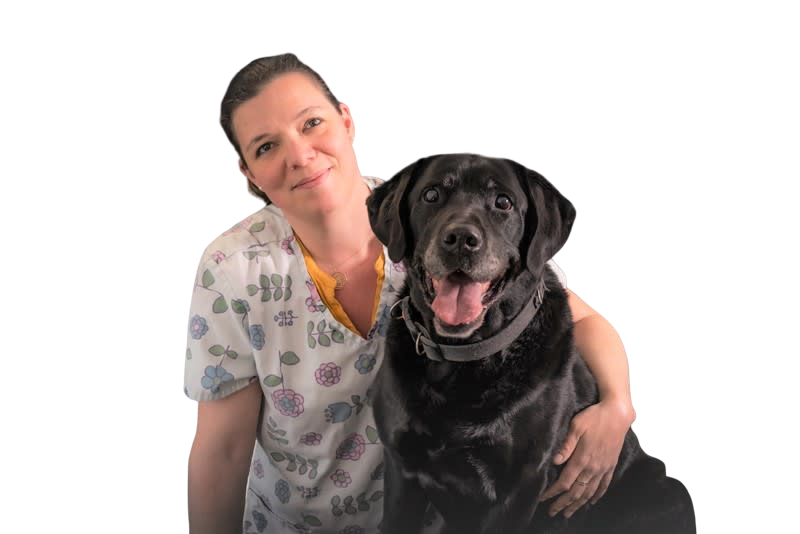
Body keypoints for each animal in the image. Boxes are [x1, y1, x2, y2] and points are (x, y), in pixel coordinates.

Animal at [366, 152, 695, 533]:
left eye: (503, 202)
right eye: (431, 195)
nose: (461, 238)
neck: (465, 362)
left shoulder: (520, 485)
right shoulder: (401, 467)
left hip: (666, 489)